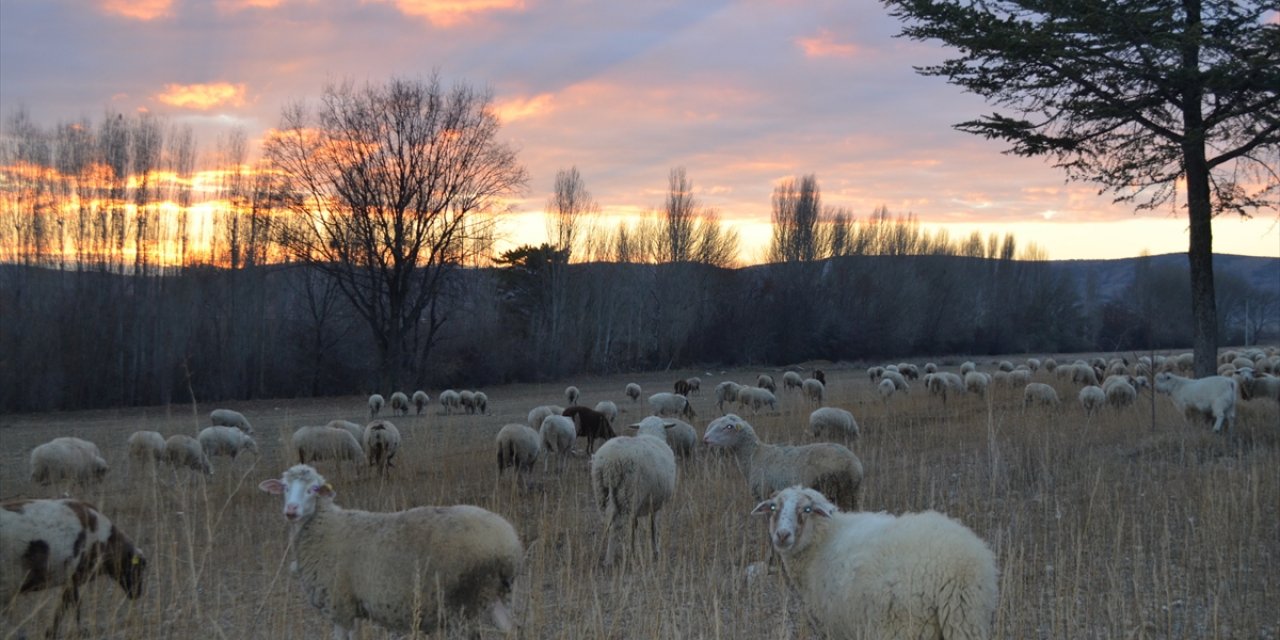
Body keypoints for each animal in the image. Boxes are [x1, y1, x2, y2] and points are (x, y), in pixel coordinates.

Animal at [0, 496, 147, 637]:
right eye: (138, 568)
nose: (137, 593)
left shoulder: (70, 580)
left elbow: (66, 605)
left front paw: (51, 633)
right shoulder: (72, 576)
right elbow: (73, 605)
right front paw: (77, 632)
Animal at [257, 465, 522, 640]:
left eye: (313, 489)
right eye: (284, 487)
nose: (291, 510)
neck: (324, 526)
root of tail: (509, 541)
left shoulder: (339, 605)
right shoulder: (352, 607)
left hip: (463, 601)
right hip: (492, 595)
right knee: (512, 630)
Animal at [591, 414, 680, 565]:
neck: (651, 433)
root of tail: (611, 462)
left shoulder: (638, 506)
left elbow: (634, 525)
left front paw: (632, 550)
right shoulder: (655, 503)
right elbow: (653, 526)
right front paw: (655, 550)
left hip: (603, 492)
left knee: (608, 522)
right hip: (628, 493)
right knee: (616, 525)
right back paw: (610, 560)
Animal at [706, 412, 865, 512]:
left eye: (728, 427)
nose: (705, 438)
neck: (754, 455)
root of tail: (855, 465)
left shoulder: (764, 494)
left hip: (839, 492)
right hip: (854, 494)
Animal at [747, 483, 998, 640]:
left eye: (806, 509)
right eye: (773, 507)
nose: (782, 535)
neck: (824, 538)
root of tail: (960, 568)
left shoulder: (836, 625)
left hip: (904, 626)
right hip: (967, 620)